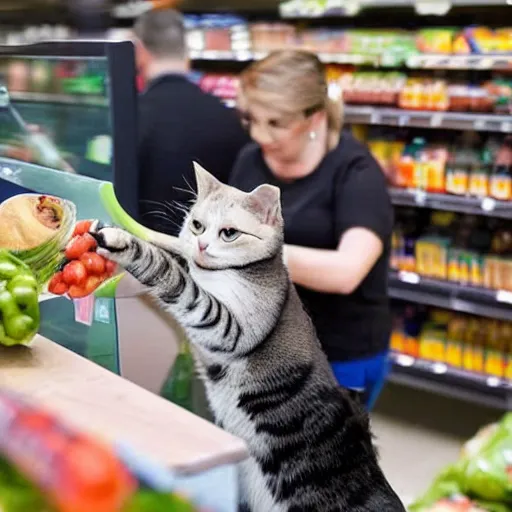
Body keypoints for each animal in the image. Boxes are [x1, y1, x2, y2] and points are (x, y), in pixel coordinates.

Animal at [90, 163, 406, 512]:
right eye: (197, 225)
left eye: (229, 233)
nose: (202, 245)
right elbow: (177, 256)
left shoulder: (226, 326)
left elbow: (178, 281)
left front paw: (124, 243)